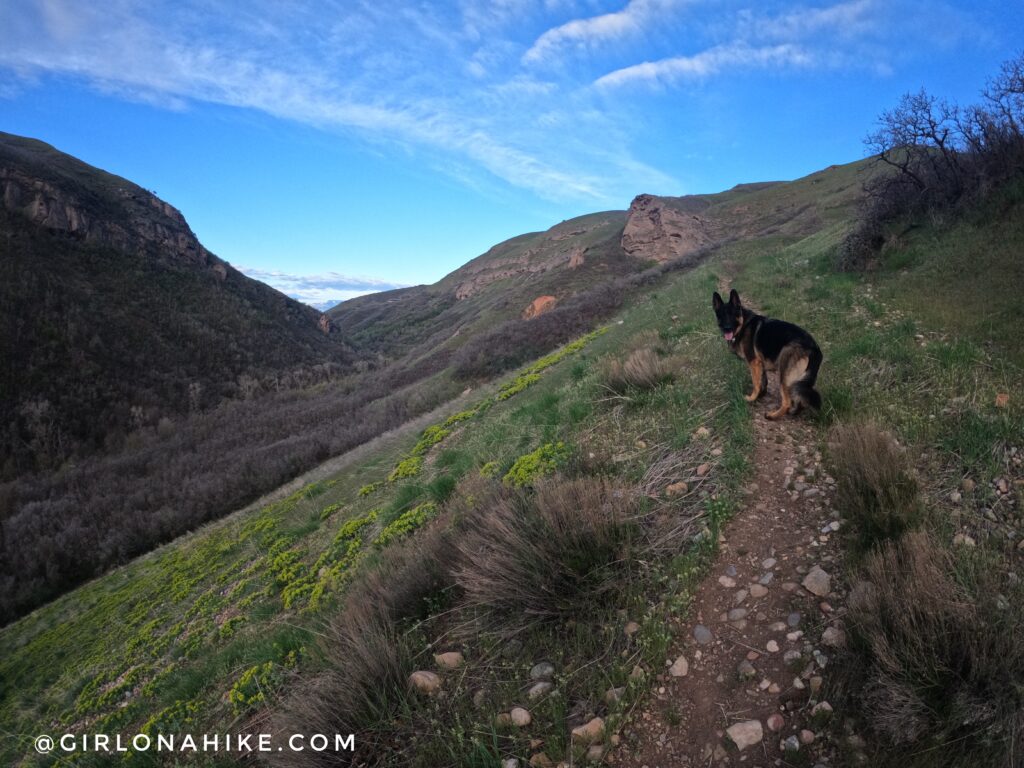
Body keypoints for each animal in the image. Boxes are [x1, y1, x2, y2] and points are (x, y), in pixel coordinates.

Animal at [712, 288, 823, 421]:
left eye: (733, 315)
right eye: (721, 316)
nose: (727, 328)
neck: (743, 324)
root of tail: (814, 348)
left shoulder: (753, 363)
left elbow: (756, 383)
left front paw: (752, 398)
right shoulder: (760, 364)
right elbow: (763, 382)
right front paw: (761, 396)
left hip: (784, 373)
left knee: (787, 401)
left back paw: (773, 415)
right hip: (797, 381)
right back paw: (793, 412)